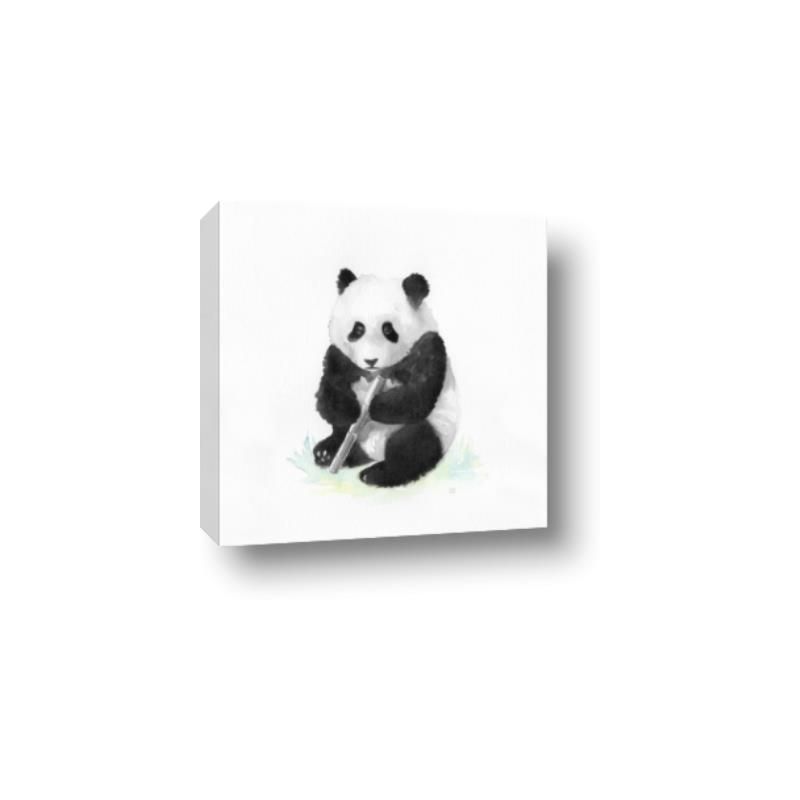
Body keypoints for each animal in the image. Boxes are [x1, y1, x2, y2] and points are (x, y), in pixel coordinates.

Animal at [313, 268, 459, 487]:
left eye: (388, 329)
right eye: (358, 329)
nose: (371, 360)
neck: (375, 373)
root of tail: (373, 453)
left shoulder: (428, 346)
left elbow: (417, 396)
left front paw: (371, 407)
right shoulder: (340, 357)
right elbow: (330, 390)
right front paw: (352, 410)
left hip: (436, 427)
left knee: (412, 445)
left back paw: (377, 474)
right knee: (342, 433)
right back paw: (327, 452)